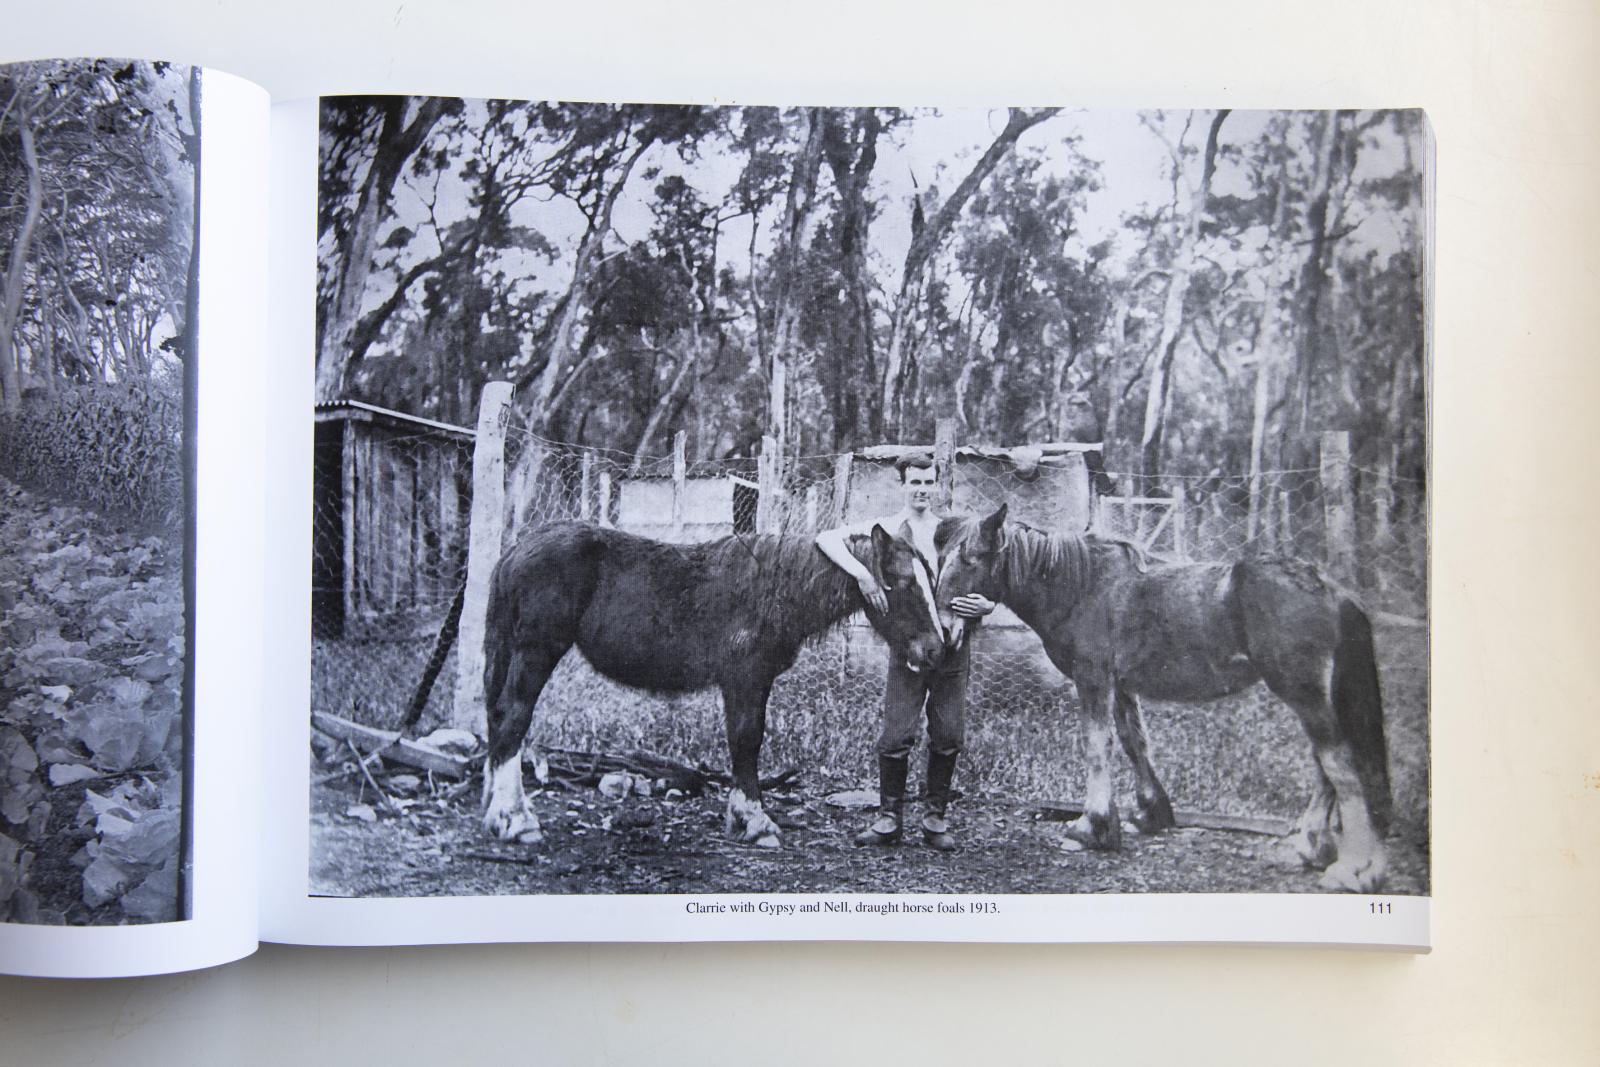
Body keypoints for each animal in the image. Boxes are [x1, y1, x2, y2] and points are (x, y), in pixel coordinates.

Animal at [480, 521, 940, 844]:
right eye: (902, 583)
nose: (936, 650)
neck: (774, 588)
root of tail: (516, 549)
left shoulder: (755, 682)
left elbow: (746, 741)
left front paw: (741, 817)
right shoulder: (744, 679)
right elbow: (746, 740)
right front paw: (754, 821)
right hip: (536, 652)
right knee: (513, 717)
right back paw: (516, 820)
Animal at [934, 508, 1388, 895]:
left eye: (972, 558)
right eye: (941, 557)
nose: (945, 627)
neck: (1082, 585)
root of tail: (1333, 591)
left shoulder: (1093, 679)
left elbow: (1096, 747)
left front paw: (1091, 827)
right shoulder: (1120, 686)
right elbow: (1134, 742)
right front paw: (1149, 814)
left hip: (1304, 695)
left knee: (1340, 766)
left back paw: (1352, 869)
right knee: (1325, 768)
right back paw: (1313, 848)